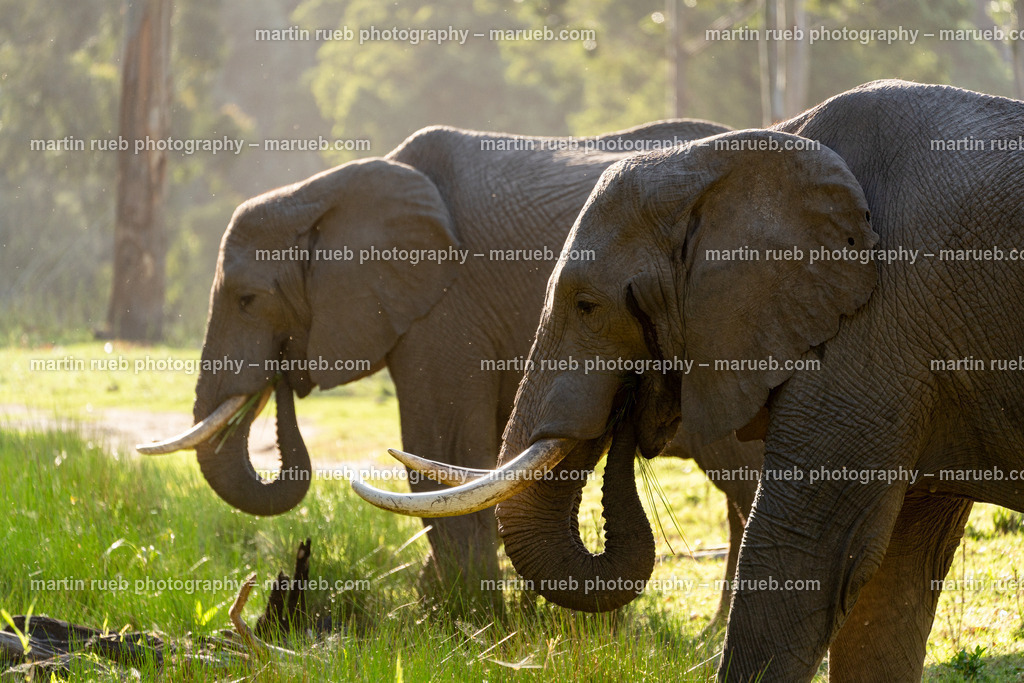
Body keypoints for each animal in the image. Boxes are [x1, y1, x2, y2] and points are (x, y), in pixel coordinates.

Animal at [138, 117, 764, 614]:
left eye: (247, 299)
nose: (285, 375)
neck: (325, 191)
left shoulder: (445, 311)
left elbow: (439, 448)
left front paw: (472, 623)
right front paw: (443, 608)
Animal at [354, 80, 1024, 680]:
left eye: (588, 306)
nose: (632, 401)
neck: (743, 153)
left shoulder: (877, 326)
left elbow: (806, 553)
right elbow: (894, 582)